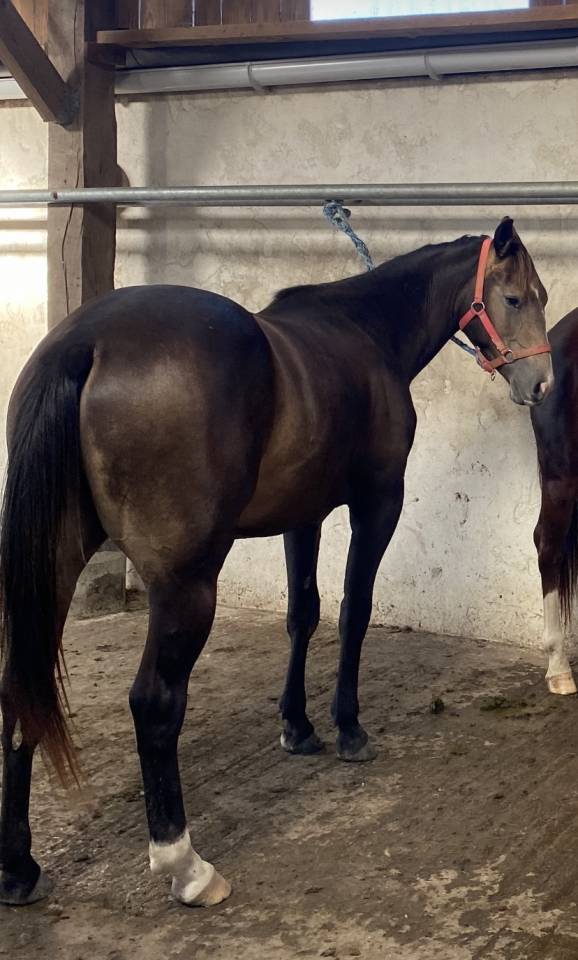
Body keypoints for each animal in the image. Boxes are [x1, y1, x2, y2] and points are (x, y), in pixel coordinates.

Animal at [0, 217, 552, 909]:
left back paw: (19, 867)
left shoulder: (303, 516)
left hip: (52, 569)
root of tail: (87, 342)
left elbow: (303, 614)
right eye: (515, 298)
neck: (365, 333)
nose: (541, 385)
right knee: (154, 702)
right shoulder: (378, 503)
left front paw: (298, 726)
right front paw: (348, 730)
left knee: (19, 688)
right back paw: (185, 865)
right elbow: (353, 612)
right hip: (185, 585)